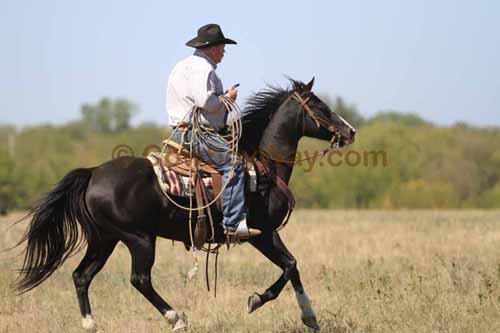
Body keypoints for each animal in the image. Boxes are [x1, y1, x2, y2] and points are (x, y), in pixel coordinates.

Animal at [14, 77, 356, 330]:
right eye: (321, 106)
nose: (350, 131)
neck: (263, 167)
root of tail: (94, 172)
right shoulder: (262, 233)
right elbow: (289, 266)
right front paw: (257, 301)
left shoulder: (268, 235)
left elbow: (293, 267)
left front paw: (310, 316)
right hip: (138, 239)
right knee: (139, 279)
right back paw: (175, 317)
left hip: (105, 239)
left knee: (81, 276)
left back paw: (90, 323)